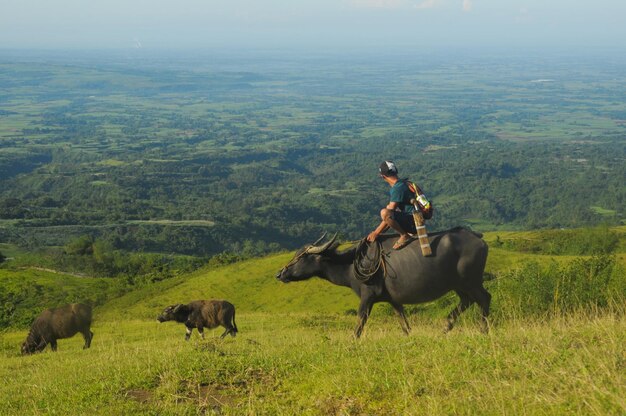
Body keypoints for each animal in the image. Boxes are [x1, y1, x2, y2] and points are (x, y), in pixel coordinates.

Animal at [276, 229, 490, 340]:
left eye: (302, 257)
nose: (281, 273)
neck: (351, 262)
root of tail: (478, 238)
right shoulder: (394, 300)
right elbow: (403, 321)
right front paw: (408, 335)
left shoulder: (367, 296)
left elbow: (361, 320)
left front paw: (352, 340)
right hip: (459, 285)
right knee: (467, 301)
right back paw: (446, 326)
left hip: (471, 281)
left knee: (484, 299)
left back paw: (483, 330)